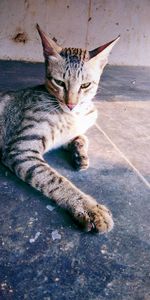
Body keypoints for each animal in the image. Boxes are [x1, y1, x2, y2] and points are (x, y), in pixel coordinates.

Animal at [0, 25, 119, 232]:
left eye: (85, 85)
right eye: (59, 82)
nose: (71, 104)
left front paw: (80, 155)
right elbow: (55, 179)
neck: (76, 114)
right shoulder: (20, 148)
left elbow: (82, 137)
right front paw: (88, 207)